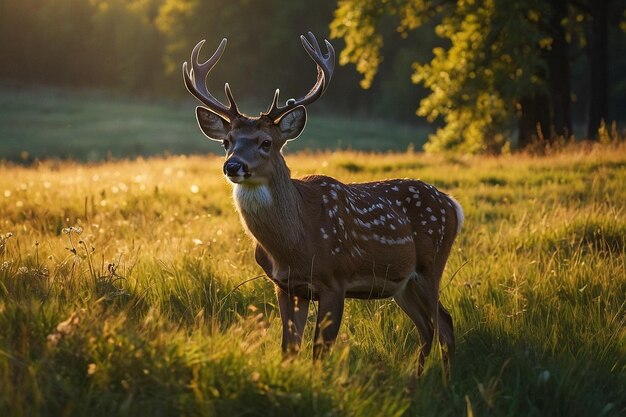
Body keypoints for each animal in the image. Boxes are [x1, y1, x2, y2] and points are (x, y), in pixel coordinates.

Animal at [183, 31, 460, 370]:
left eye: (266, 142)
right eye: (226, 141)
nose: (233, 165)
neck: (293, 245)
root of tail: (452, 204)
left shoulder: (335, 280)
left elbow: (319, 351)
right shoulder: (286, 286)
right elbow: (289, 348)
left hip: (431, 264)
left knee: (444, 323)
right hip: (402, 283)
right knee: (428, 326)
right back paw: (417, 378)